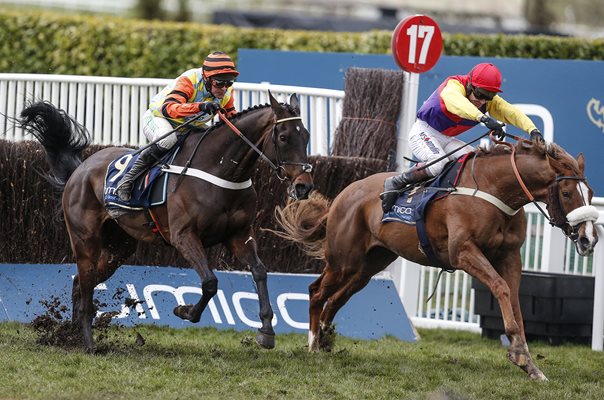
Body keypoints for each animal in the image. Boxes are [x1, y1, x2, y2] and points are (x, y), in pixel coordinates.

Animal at [20, 92, 312, 352]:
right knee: (85, 284)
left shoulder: (239, 235)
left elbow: (260, 272)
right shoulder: (183, 236)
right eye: (284, 137)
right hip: (85, 240)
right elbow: (210, 282)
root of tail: (80, 169)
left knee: (80, 284)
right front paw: (184, 310)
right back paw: (89, 344)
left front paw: (266, 331)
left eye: (307, 136)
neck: (221, 170)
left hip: (119, 247)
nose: (304, 186)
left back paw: (72, 335)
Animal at [276, 137, 596, 378]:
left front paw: (528, 362)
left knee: (337, 299)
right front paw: (518, 354)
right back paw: (313, 344)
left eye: (590, 193)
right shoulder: (463, 252)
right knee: (317, 292)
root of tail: (344, 194)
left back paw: (326, 339)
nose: (588, 238)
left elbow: (515, 301)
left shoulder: (510, 257)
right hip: (344, 260)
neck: (493, 189)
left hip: (368, 266)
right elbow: (500, 288)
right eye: (567, 193)